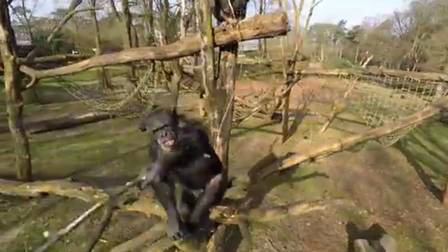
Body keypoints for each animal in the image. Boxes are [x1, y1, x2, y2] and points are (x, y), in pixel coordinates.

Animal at [137, 109, 228, 240]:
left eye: (166, 126)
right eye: (156, 130)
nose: (163, 134)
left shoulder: (193, 134)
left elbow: (204, 161)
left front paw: (161, 163)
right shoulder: (152, 149)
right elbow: (159, 180)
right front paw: (174, 222)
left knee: (215, 183)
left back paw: (196, 225)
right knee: (183, 204)